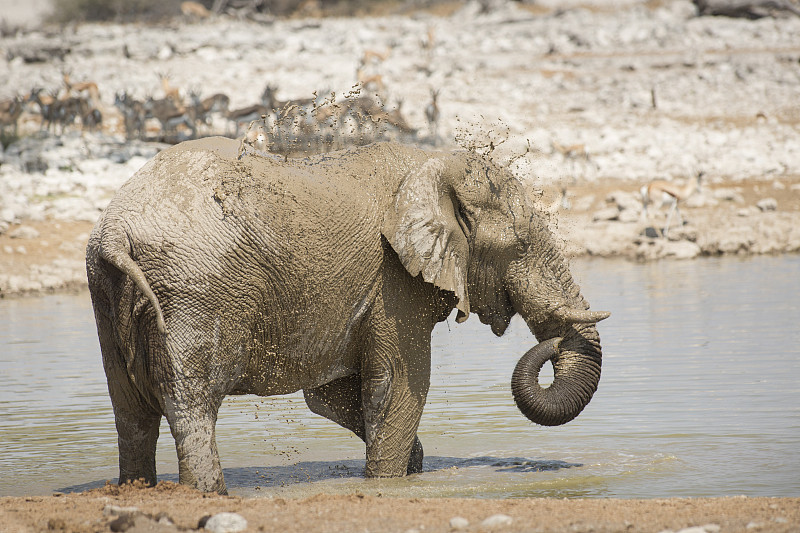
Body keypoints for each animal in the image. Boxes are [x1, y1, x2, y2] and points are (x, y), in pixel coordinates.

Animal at [86, 135, 608, 492]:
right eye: (520, 246)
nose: (553, 339)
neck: (432, 162)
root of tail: (115, 231)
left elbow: (334, 394)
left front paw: (411, 465)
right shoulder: (395, 282)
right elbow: (401, 384)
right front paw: (391, 482)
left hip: (105, 292)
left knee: (130, 412)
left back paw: (139, 489)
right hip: (196, 289)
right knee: (190, 402)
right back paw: (209, 494)